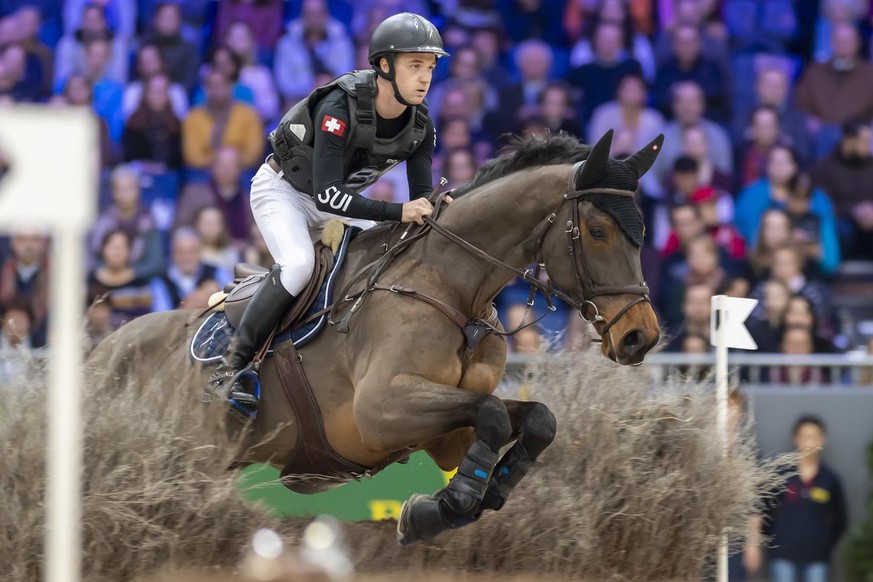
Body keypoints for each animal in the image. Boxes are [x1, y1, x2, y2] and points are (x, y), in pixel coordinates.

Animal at [87, 131, 660, 548]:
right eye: (598, 232)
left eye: (644, 232)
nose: (641, 337)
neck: (454, 287)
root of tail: (101, 351)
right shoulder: (379, 411)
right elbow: (494, 414)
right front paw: (437, 510)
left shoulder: (444, 430)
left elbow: (533, 418)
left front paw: (478, 494)